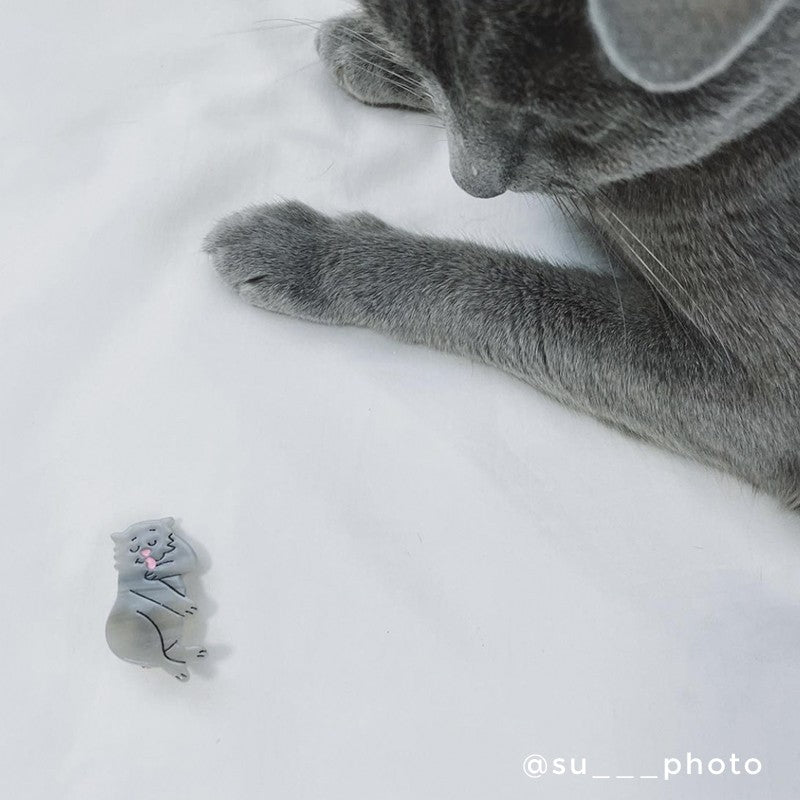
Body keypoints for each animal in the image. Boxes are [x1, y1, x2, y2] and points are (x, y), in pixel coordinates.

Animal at [206, 0, 800, 510]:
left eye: (584, 126)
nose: (472, 183)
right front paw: (373, 49)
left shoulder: (770, 403)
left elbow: (501, 291)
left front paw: (301, 252)